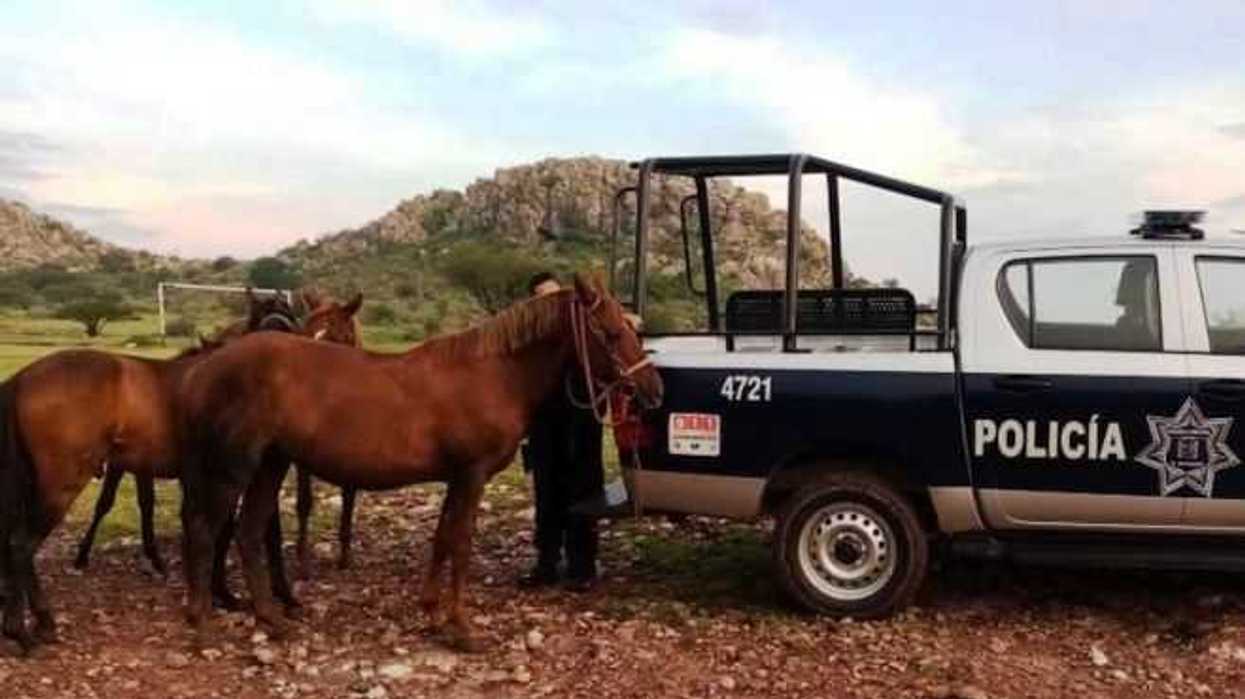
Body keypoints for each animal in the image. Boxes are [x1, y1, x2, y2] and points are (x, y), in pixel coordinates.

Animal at [177, 273, 662, 651]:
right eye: (611, 333)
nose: (652, 389)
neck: (491, 374)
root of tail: (210, 365)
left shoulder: (457, 478)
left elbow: (443, 538)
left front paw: (432, 614)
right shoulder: (471, 475)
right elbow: (460, 543)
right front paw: (462, 629)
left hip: (270, 465)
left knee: (248, 532)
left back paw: (271, 619)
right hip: (234, 468)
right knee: (204, 531)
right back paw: (202, 624)